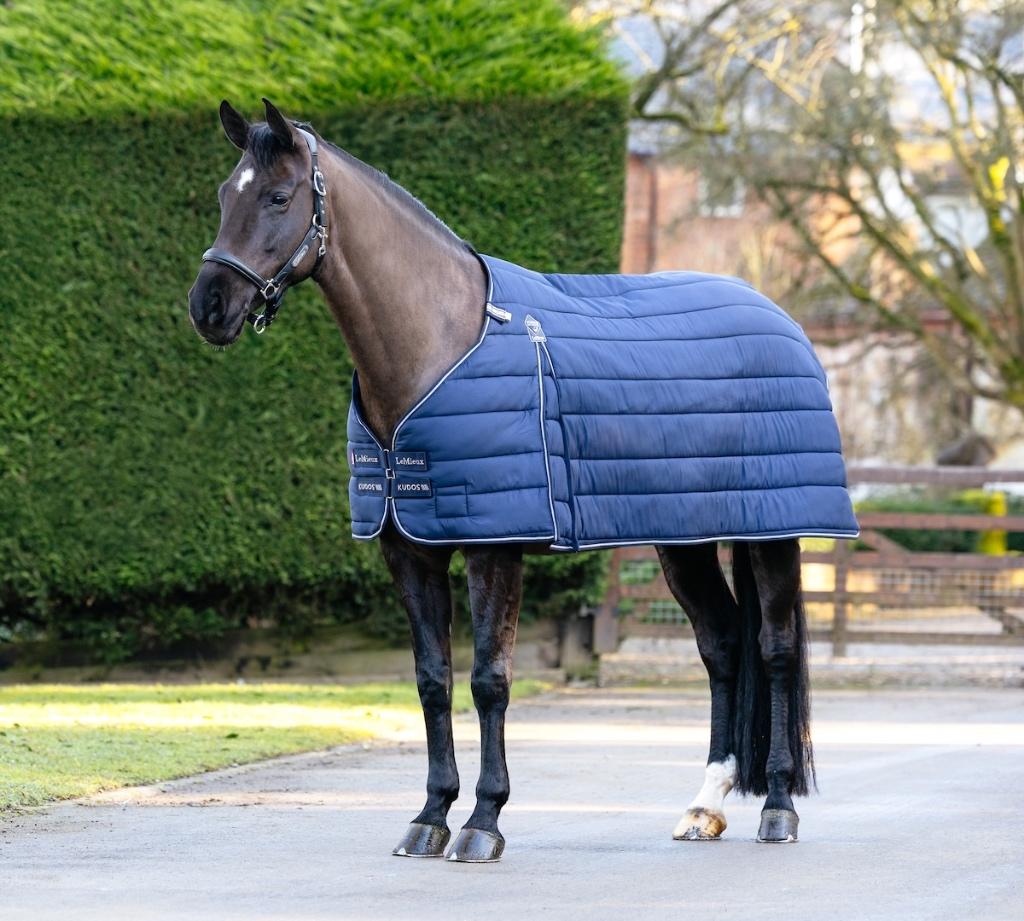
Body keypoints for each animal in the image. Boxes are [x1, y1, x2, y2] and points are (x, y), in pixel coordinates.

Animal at [189, 99, 853, 862]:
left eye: (278, 197)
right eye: (223, 195)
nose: (209, 306)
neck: (439, 342)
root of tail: (779, 317)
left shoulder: (495, 547)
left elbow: (489, 680)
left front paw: (483, 820)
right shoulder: (408, 548)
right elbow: (432, 680)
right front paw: (429, 816)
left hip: (774, 534)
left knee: (773, 651)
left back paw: (777, 807)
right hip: (684, 540)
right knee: (721, 647)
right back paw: (704, 806)